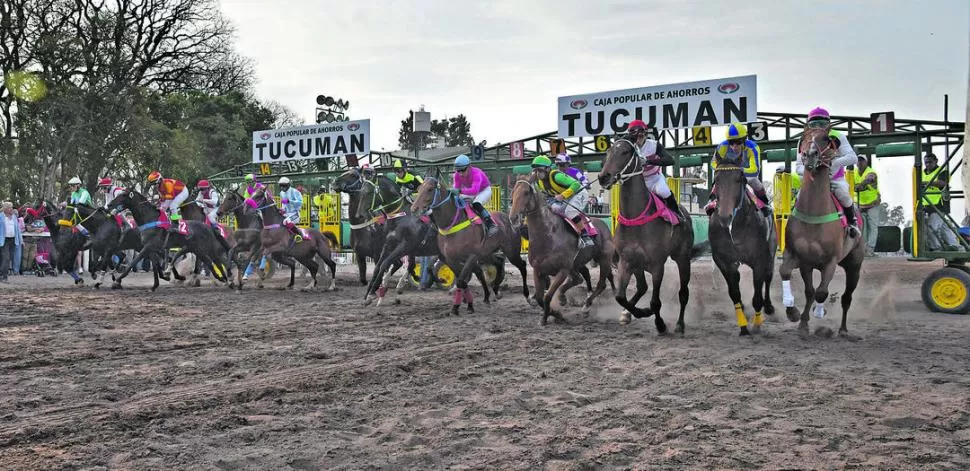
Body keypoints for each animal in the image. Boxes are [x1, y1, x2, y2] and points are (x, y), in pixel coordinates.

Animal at [408, 175, 528, 316]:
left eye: (430, 189)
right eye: (419, 189)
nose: (414, 209)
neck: (452, 224)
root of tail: (510, 219)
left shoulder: (472, 255)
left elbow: (461, 280)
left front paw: (458, 306)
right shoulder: (450, 258)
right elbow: (463, 279)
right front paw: (466, 302)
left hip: (511, 251)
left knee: (521, 265)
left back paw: (526, 296)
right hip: (486, 253)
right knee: (497, 263)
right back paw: (493, 290)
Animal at [506, 175, 612, 326]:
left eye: (526, 192)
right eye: (513, 191)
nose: (513, 217)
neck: (548, 237)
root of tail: (604, 224)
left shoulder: (562, 270)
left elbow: (548, 296)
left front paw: (549, 316)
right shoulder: (538, 270)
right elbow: (540, 297)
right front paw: (554, 313)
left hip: (603, 259)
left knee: (600, 284)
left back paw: (586, 306)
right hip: (577, 264)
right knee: (580, 278)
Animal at [592, 136, 708, 336]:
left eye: (625, 152)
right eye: (608, 152)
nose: (603, 176)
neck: (636, 217)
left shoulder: (657, 265)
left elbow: (655, 301)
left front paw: (659, 323)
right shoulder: (626, 260)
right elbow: (620, 297)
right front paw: (637, 312)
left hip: (682, 258)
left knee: (683, 293)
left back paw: (679, 324)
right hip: (638, 264)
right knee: (642, 287)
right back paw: (627, 314)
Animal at [708, 151, 776, 336]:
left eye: (740, 178)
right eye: (716, 179)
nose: (725, 217)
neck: (736, 226)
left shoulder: (760, 259)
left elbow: (758, 295)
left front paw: (757, 324)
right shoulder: (722, 259)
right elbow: (734, 293)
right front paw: (743, 325)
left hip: (772, 251)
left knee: (769, 277)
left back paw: (769, 307)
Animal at [780, 125, 864, 340]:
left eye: (826, 138)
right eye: (804, 138)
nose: (810, 154)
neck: (813, 213)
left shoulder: (831, 261)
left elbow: (821, 292)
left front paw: (819, 311)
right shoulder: (800, 258)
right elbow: (790, 276)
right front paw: (795, 314)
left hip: (854, 265)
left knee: (846, 297)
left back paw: (843, 330)